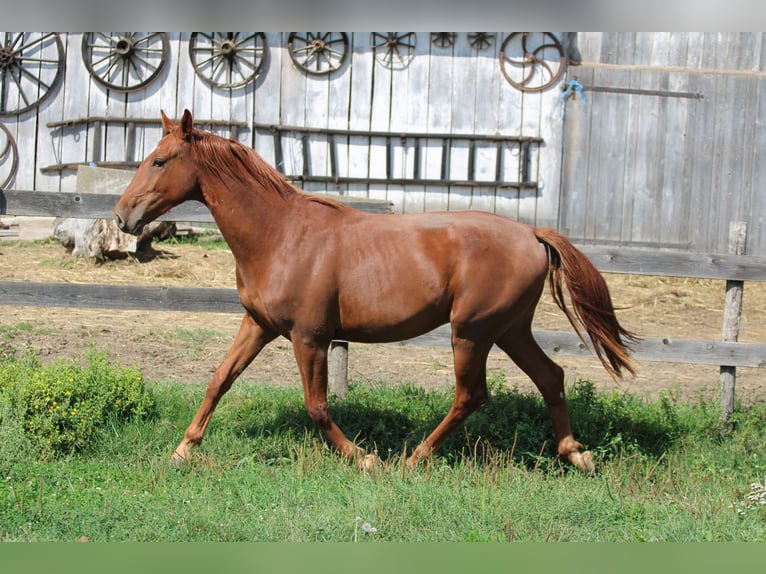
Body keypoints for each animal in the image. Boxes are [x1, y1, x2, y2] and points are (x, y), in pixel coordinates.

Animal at [114, 109, 638, 473]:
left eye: (159, 160)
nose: (122, 217)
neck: (280, 235)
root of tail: (532, 234)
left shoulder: (310, 337)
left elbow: (317, 407)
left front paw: (364, 458)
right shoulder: (258, 324)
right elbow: (219, 379)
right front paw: (183, 449)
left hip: (471, 333)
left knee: (471, 396)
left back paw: (413, 459)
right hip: (509, 330)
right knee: (551, 377)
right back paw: (576, 454)